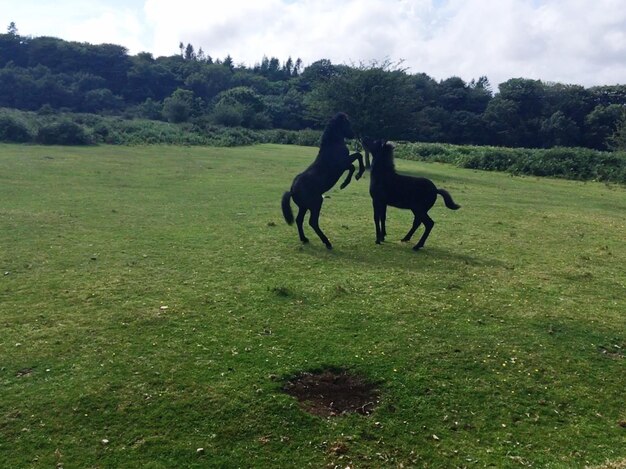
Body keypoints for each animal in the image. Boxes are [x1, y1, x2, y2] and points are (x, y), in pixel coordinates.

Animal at [282, 113, 364, 249]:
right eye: (347, 123)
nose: (354, 135)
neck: (332, 145)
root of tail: (292, 190)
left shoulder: (344, 165)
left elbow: (355, 161)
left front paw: (348, 181)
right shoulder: (342, 164)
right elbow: (357, 158)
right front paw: (350, 180)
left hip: (304, 207)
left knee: (299, 220)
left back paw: (304, 239)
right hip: (316, 203)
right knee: (313, 222)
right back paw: (327, 242)